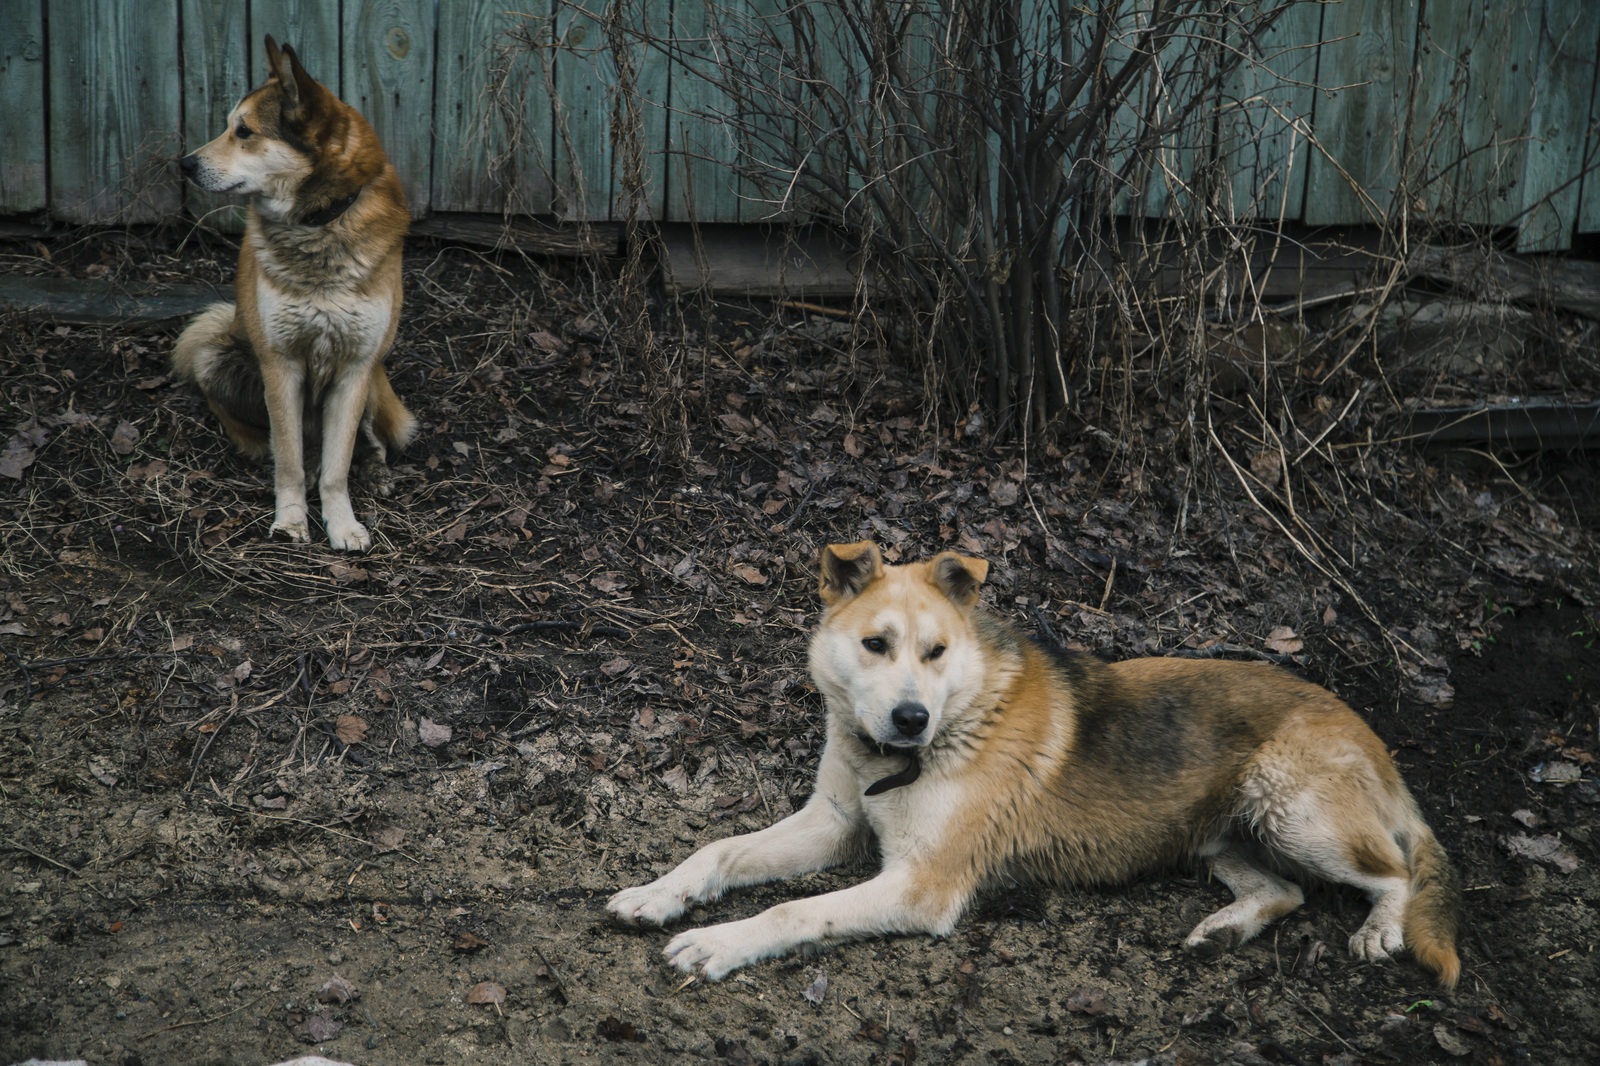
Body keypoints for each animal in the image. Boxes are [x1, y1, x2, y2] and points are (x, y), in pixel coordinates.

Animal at [173, 35, 412, 547]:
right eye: (230, 127)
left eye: (243, 131)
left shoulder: (355, 367)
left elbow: (338, 466)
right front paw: (291, 520)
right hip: (213, 351)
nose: (184, 163)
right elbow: (290, 458)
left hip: (375, 377)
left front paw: (342, 524)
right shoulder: (281, 366)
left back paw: (376, 471)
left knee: (367, 440)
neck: (319, 224)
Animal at [611, 544, 1465, 985]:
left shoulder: (921, 886)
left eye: (937, 651)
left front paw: (718, 944)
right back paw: (1226, 930)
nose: (912, 718)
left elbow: (791, 910)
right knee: (1283, 891)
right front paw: (660, 894)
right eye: (875, 644)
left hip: (1291, 810)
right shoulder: (834, 822)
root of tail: (1369, 733)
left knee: (1394, 871)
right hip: (1220, 836)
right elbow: (719, 850)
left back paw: (1379, 932)